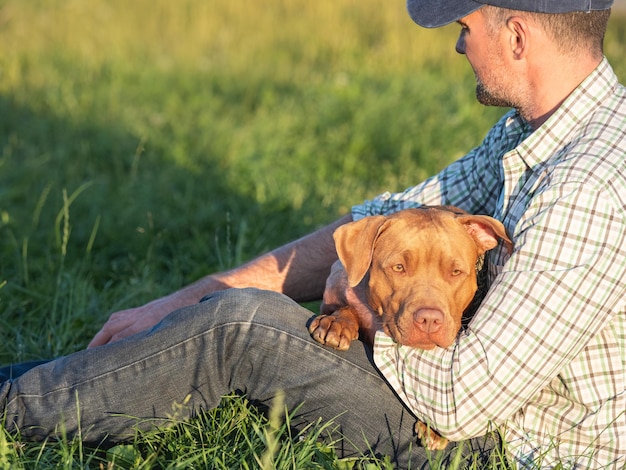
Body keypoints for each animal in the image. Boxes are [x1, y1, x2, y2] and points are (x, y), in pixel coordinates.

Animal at [308, 207, 512, 450]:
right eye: (399, 267)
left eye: (456, 272)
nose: (429, 319)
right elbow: (349, 307)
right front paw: (337, 323)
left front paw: (434, 430)